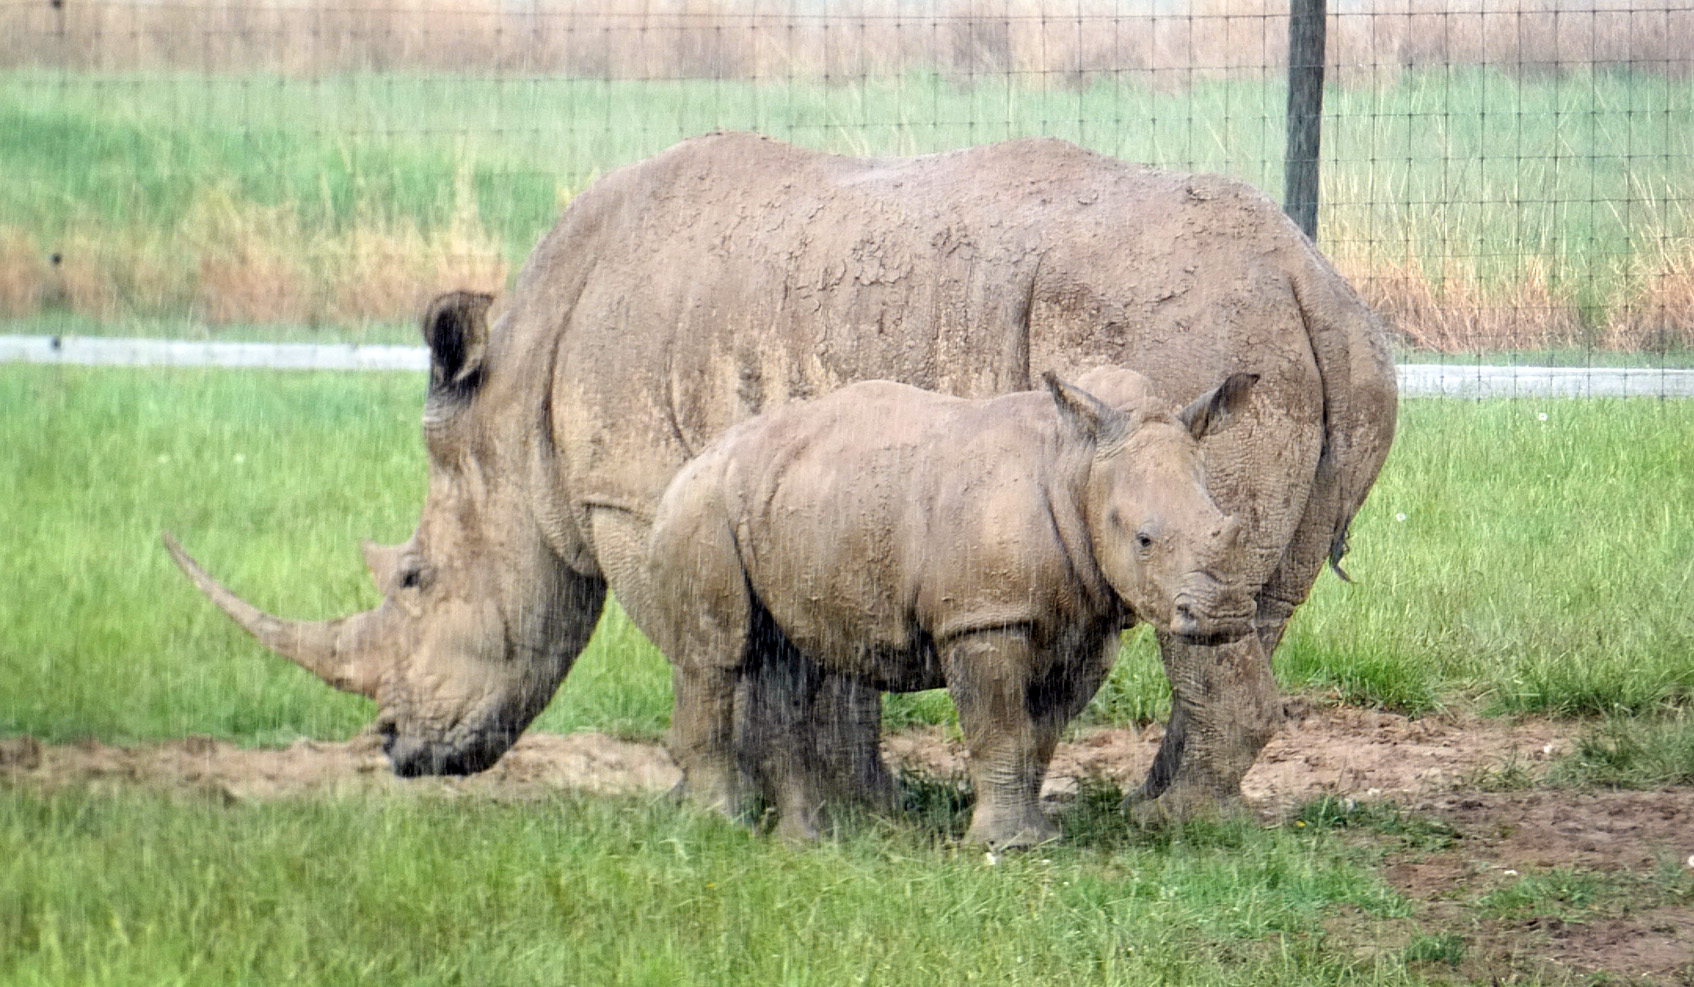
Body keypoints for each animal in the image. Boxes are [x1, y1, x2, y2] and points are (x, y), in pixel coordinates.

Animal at [647, 368, 1259, 845]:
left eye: (1222, 519)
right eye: (1144, 540)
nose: (1226, 615)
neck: (1079, 465)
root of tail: (691, 461)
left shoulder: (1087, 624)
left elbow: (1039, 733)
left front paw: (1038, 837)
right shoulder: (983, 616)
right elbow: (998, 726)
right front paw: (1008, 847)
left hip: (791, 507)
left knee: (789, 661)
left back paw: (809, 840)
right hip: (702, 507)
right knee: (715, 656)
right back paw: (722, 826)